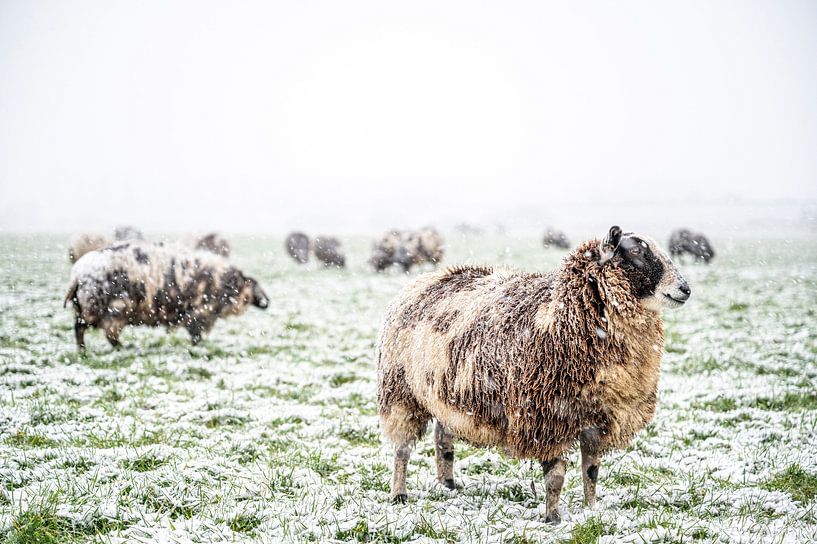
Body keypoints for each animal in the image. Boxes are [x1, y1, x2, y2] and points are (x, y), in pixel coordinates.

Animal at [64, 241, 269, 351]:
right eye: (255, 286)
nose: (267, 302)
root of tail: (77, 274)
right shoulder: (198, 314)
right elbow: (196, 336)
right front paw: (197, 348)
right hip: (109, 310)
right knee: (89, 331)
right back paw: (94, 350)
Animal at [376, 226, 690, 523]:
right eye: (635, 251)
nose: (685, 289)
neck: (564, 313)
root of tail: (427, 278)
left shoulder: (595, 419)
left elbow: (591, 471)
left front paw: (591, 510)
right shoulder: (546, 418)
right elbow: (556, 476)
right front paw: (552, 519)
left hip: (446, 392)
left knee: (443, 440)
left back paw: (448, 484)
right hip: (400, 393)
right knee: (402, 449)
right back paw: (399, 494)